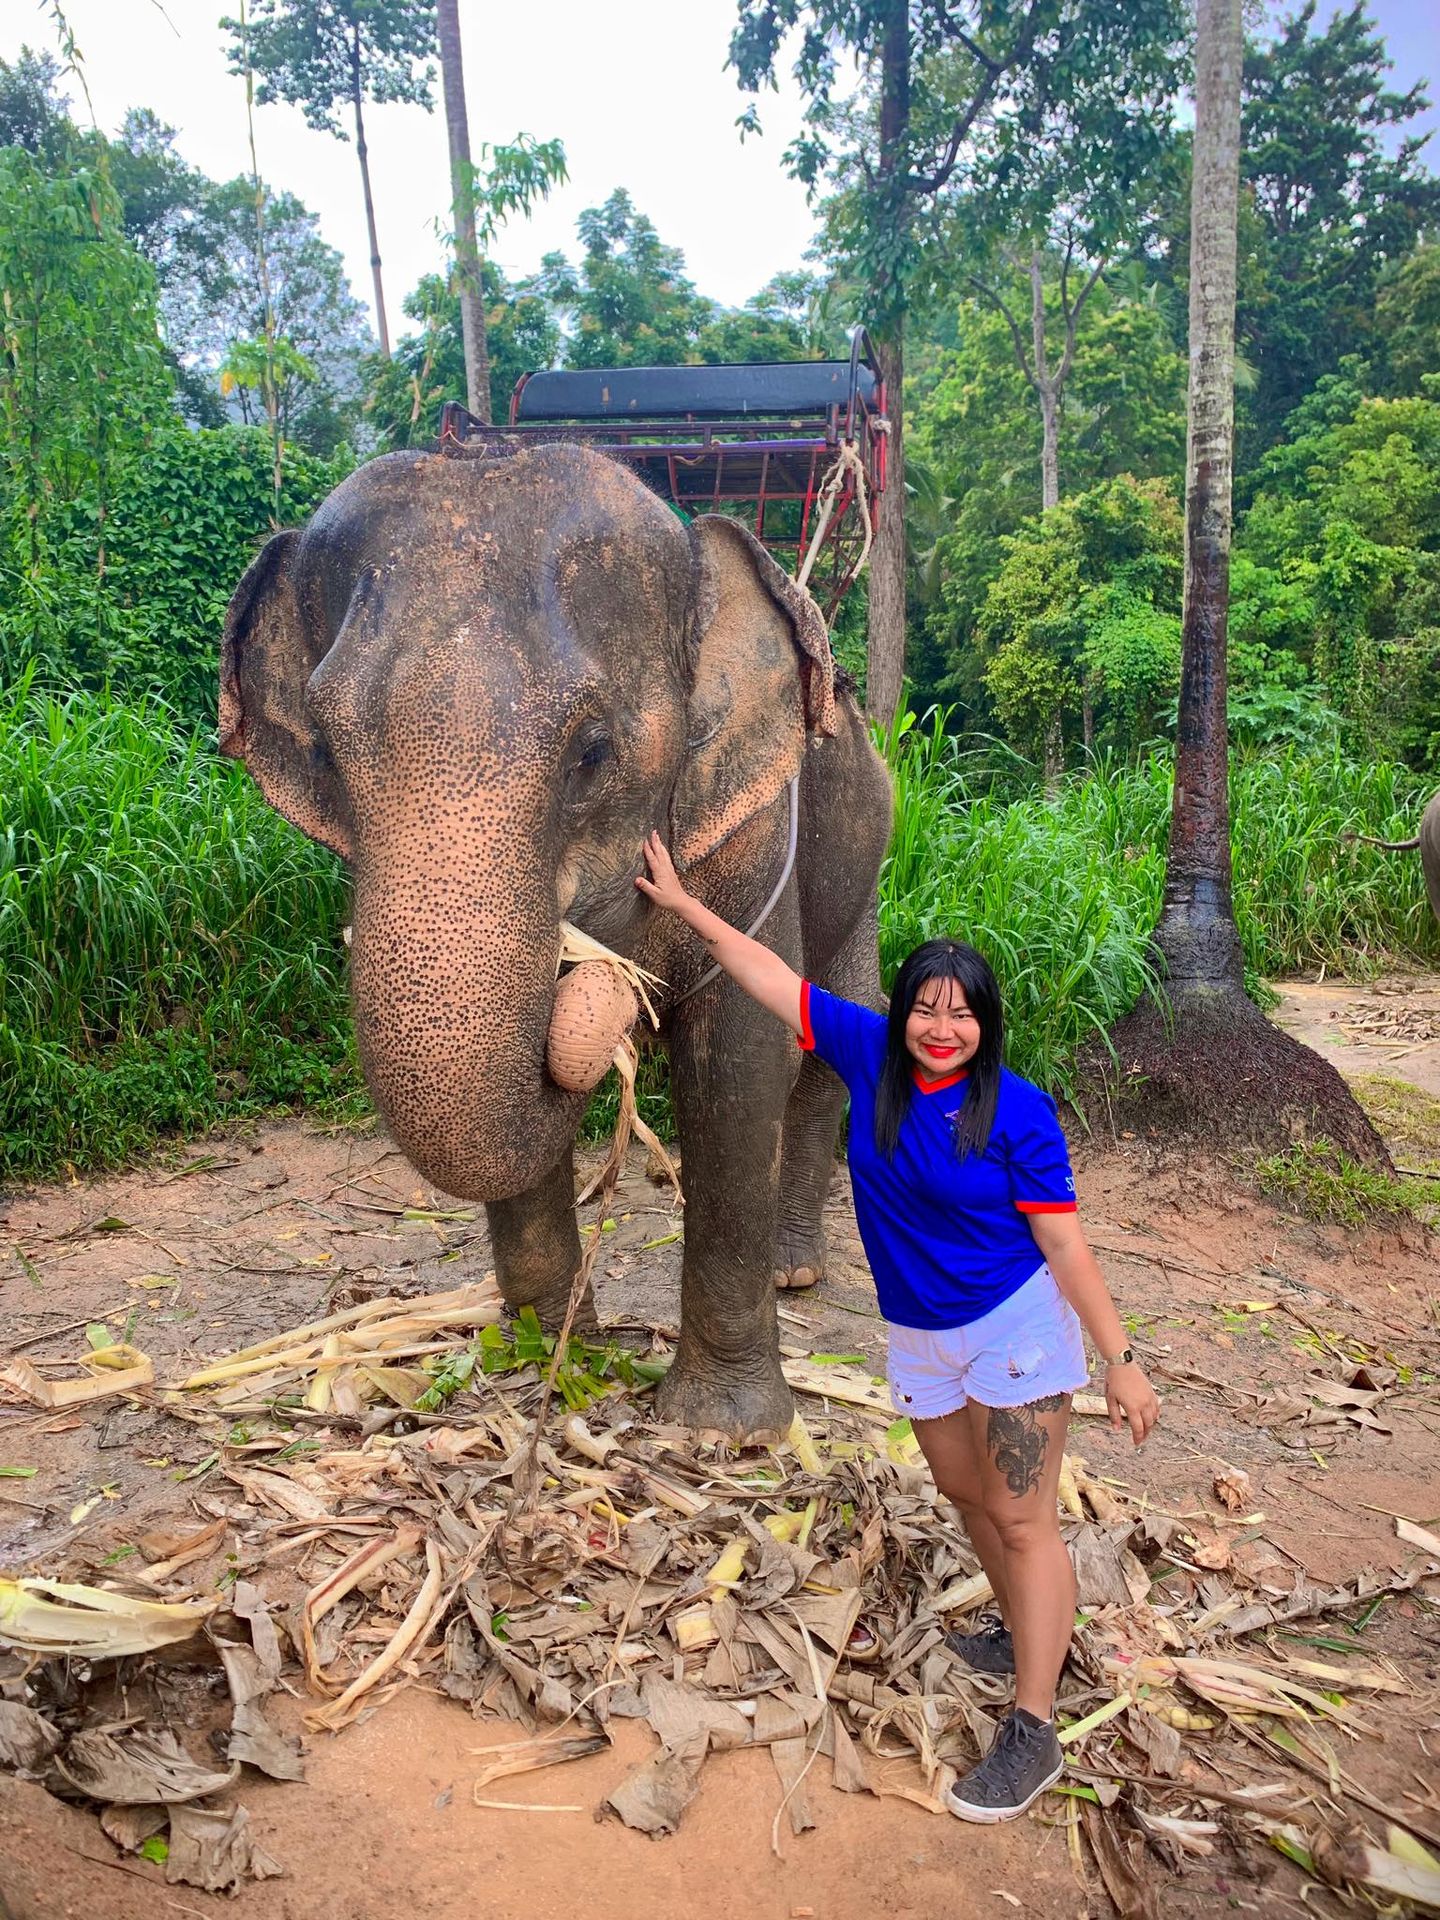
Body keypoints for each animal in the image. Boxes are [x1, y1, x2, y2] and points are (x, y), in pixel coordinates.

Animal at [216, 439, 890, 1443]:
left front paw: (723, 1432)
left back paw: (792, 1271)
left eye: (593, 752)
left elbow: (738, 1065)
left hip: (867, 853)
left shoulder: (753, 831)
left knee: (832, 1045)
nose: (597, 993)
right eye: (330, 756)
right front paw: (551, 1364)